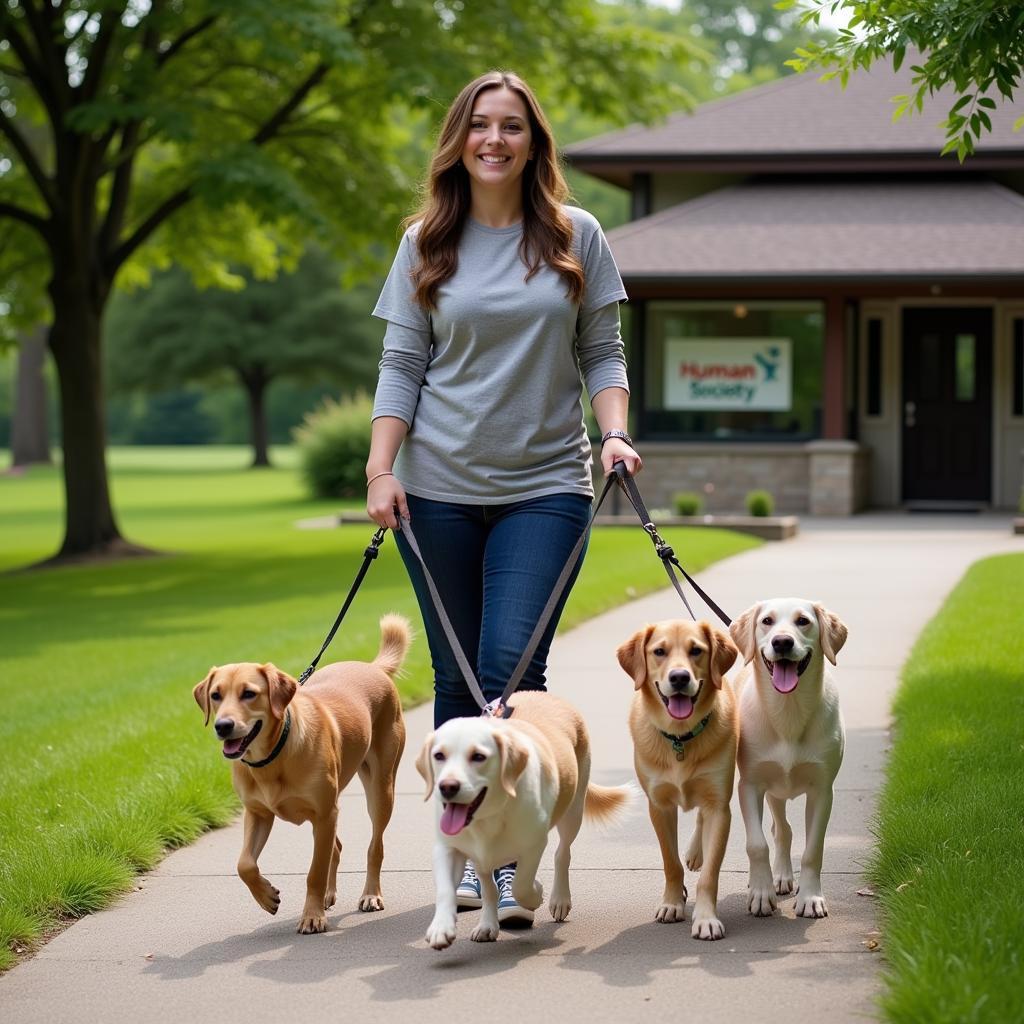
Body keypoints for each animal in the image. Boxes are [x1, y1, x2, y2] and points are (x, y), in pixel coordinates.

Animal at [192, 610, 407, 933]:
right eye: (216, 695)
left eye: (249, 693)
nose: (223, 726)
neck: (272, 758)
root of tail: (372, 667)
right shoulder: (258, 814)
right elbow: (244, 864)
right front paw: (267, 896)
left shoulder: (324, 813)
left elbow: (314, 872)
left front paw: (312, 916)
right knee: (336, 847)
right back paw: (329, 894)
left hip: (381, 788)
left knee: (374, 846)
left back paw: (370, 894)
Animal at [411, 688, 626, 950]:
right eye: (439, 755)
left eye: (478, 756)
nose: (447, 787)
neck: (488, 817)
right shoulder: (449, 848)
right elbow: (454, 889)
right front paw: (445, 927)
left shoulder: (534, 845)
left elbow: (520, 885)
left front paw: (536, 895)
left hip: (573, 809)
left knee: (562, 853)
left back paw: (560, 899)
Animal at [614, 618, 737, 937]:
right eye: (659, 651)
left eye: (696, 650)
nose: (680, 677)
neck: (680, 737)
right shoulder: (659, 806)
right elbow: (670, 863)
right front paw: (671, 904)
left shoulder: (719, 806)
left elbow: (710, 874)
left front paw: (706, 919)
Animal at [729, 598, 847, 921]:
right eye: (767, 621)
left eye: (803, 621)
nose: (782, 642)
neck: (788, 711)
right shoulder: (750, 785)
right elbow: (757, 844)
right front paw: (761, 893)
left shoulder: (823, 790)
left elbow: (813, 849)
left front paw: (811, 898)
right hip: (772, 788)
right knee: (780, 830)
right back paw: (777, 877)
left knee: (784, 830)